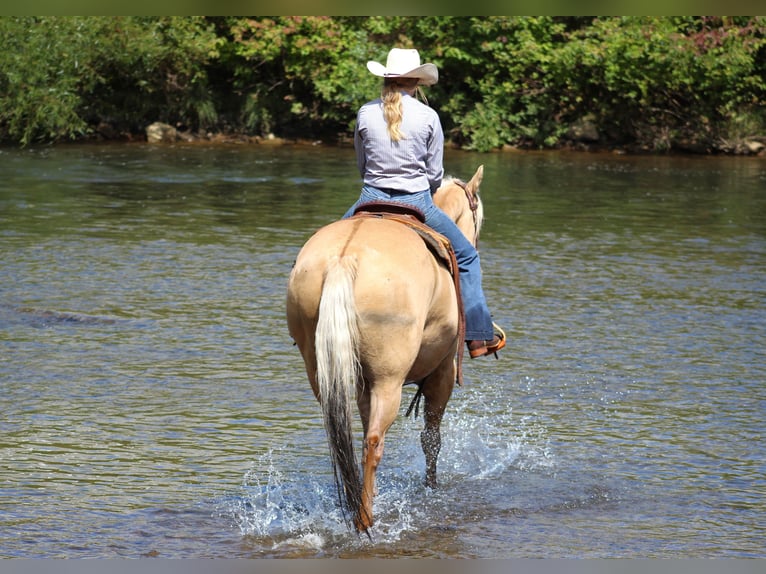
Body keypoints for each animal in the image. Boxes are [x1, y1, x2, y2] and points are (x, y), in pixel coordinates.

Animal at [284, 165, 488, 536]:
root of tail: (343, 260)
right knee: (375, 441)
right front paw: (431, 488)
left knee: (346, 442)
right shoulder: (443, 372)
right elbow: (431, 438)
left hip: (322, 371)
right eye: (478, 216)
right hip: (389, 379)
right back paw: (365, 519)